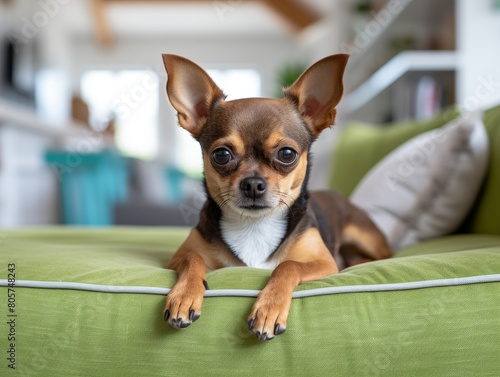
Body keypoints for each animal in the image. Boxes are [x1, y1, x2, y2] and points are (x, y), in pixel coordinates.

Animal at [160, 53, 390, 340]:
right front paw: (183, 295)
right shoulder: (179, 256)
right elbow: (194, 258)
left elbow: (287, 265)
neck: (255, 224)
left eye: (287, 154)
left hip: (365, 237)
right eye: (221, 155)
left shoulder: (323, 262)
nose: (252, 184)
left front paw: (269, 308)